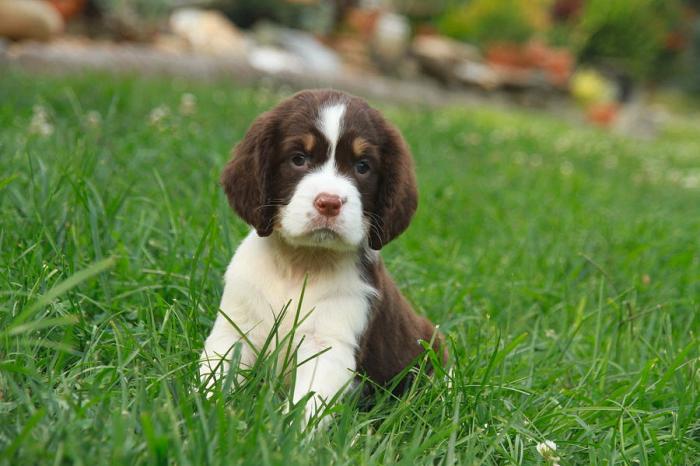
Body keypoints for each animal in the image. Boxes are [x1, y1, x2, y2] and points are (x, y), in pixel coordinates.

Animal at [200, 89, 446, 424]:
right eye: (298, 159)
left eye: (363, 166)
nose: (329, 202)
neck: (301, 263)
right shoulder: (235, 328)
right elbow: (213, 376)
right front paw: (202, 411)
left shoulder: (330, 344)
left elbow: (307, 404)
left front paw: (285, 432)